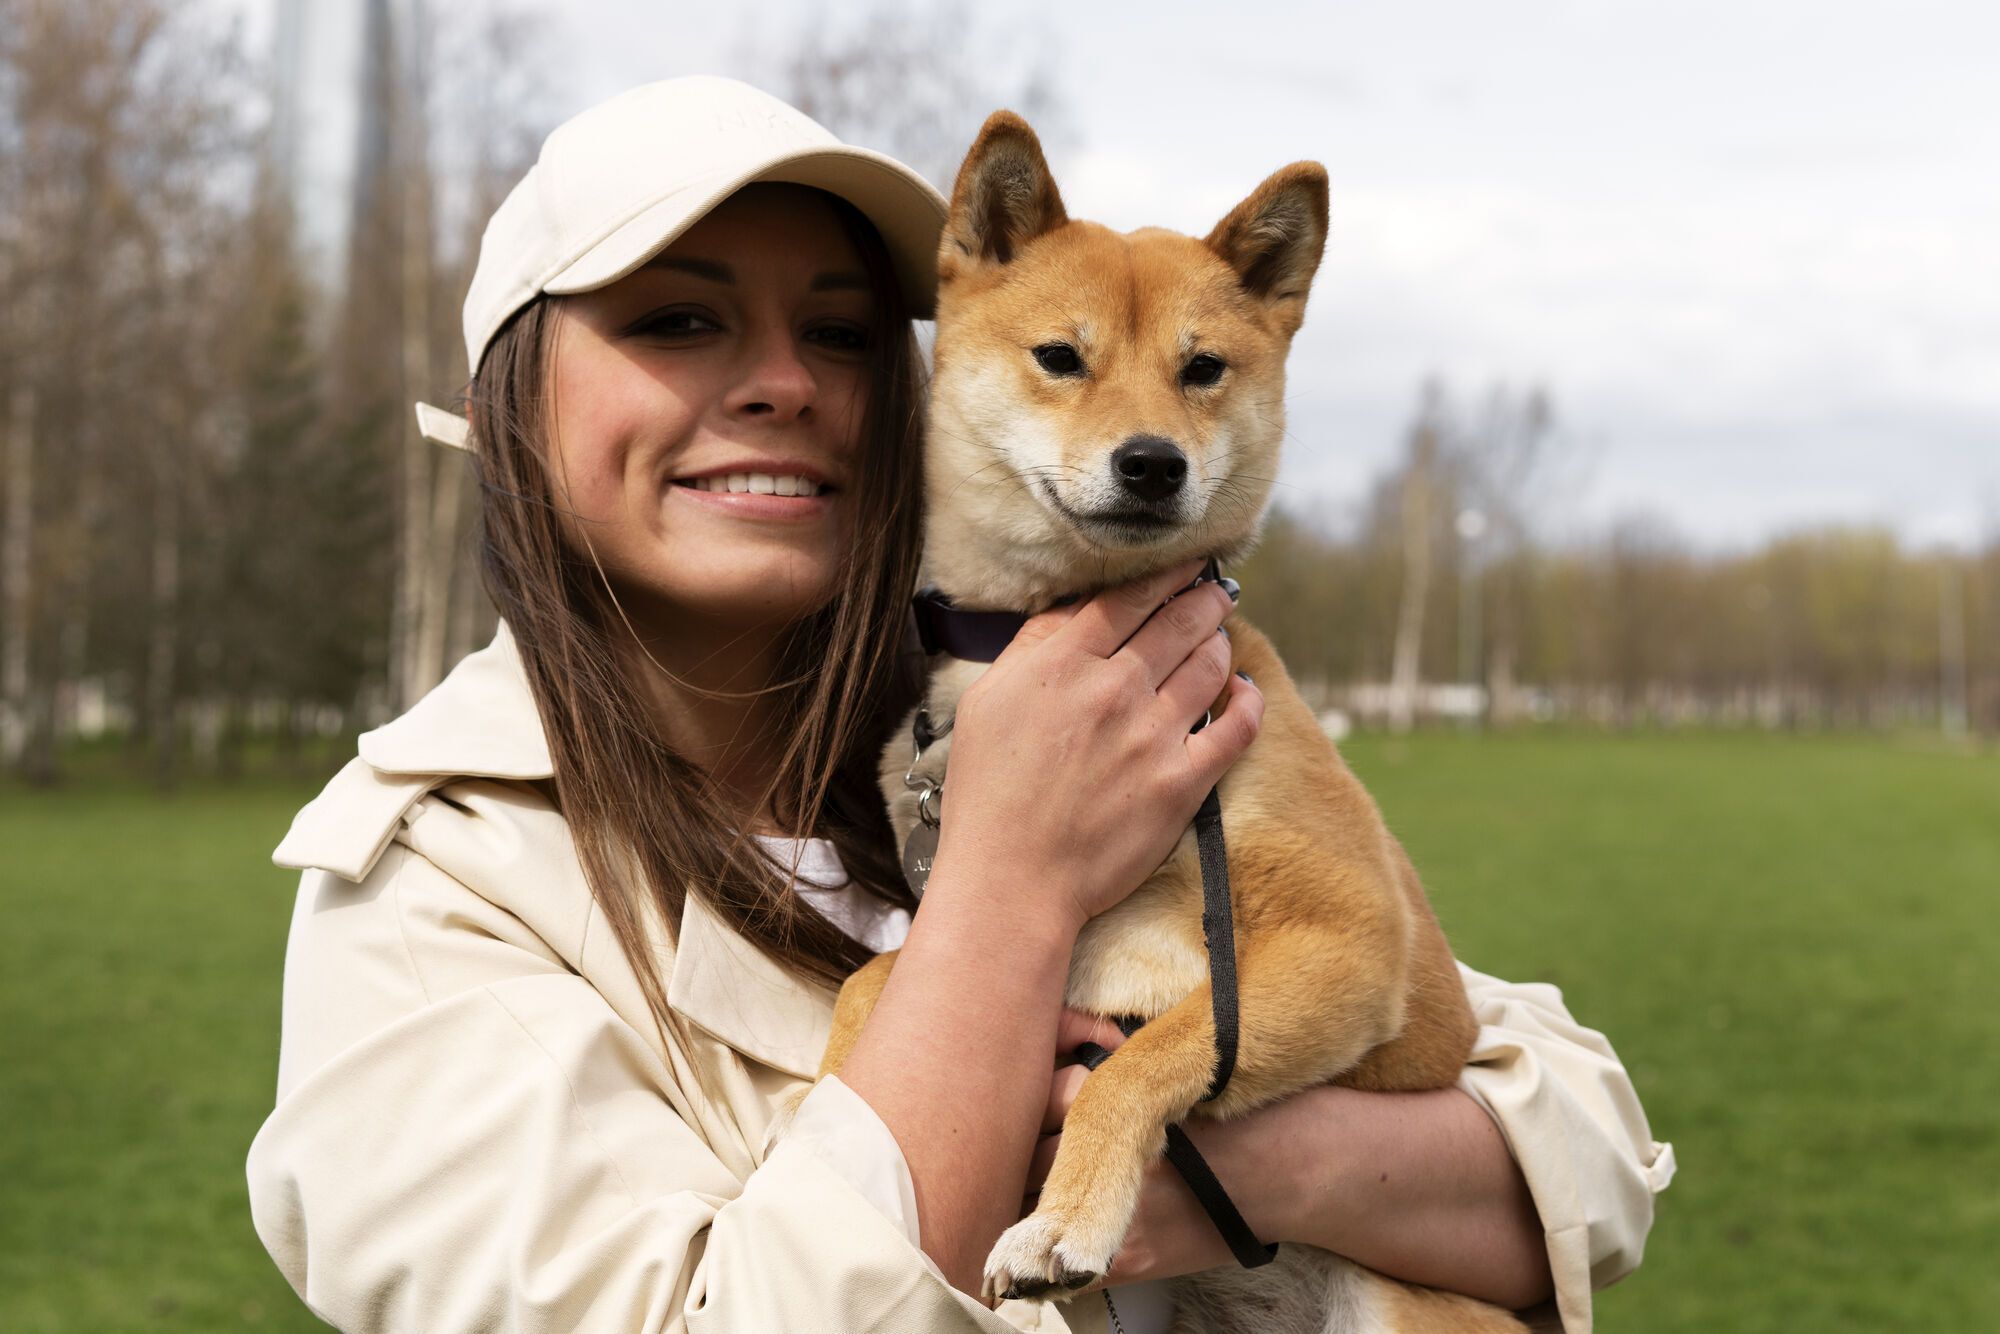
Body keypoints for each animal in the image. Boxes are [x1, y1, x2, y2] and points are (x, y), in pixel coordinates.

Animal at [820, 115, 1520, 1334]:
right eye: (1061, 356)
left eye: (1202, 369)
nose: (1151, 461)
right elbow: (875, 979)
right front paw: (819, 1102)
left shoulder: (1348, 940)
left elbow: (1143, 1060)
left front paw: (1062, 1222)